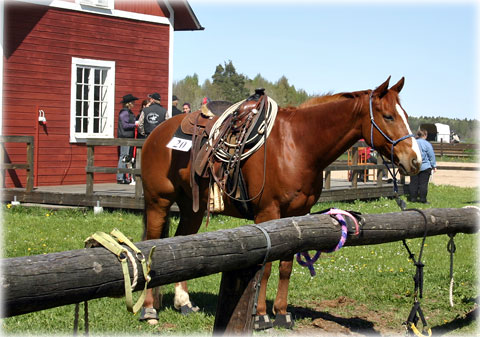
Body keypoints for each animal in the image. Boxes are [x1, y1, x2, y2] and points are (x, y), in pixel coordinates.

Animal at [139, 77, 420, 328]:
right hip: (158, 202)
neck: (297, 145)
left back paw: (184, 302)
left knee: (180, 241)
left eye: (405, 115)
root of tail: (156, 133)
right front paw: (261, 316)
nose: (415, 160)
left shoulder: (297, 215)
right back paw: (149, 310)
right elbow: (266, 268)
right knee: (151, 246)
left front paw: (282, 313)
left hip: (192, 207)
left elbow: (286, 266)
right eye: (389, 117)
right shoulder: (268, 214)